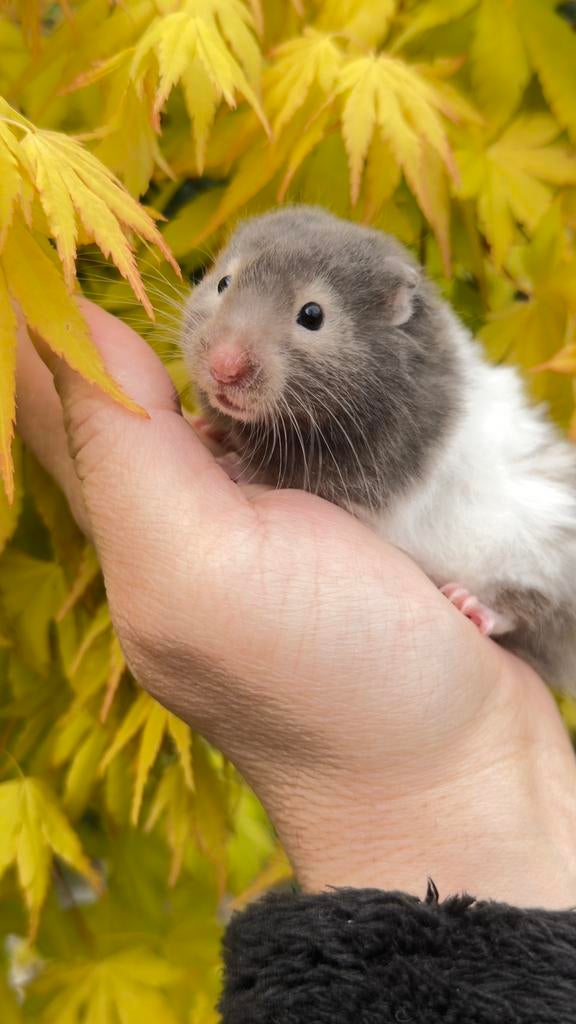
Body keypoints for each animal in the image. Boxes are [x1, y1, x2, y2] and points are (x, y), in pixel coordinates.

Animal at [180, 204, 576, 692]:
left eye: (312, 314)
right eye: (222, 283)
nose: (223, 368)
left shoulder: (356, 480)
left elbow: (283, 474)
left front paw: (234, 463)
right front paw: (209, 427)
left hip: (544, 562)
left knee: (528, 611)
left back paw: (469, 604)